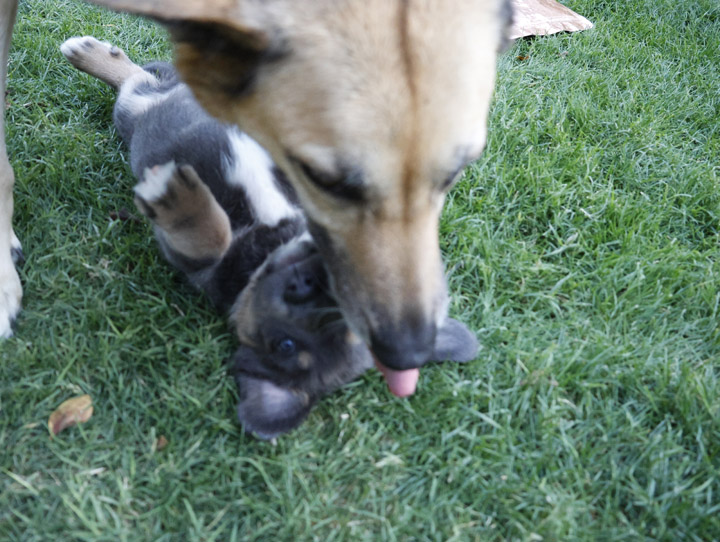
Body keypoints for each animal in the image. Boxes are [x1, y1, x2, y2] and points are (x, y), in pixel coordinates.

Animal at [62, 35, 478, 442]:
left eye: (286, 345)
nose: (309, 285)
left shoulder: (199, 268)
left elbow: (209, 239)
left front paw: (177, 199)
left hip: (134, 115)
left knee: (136, 86)